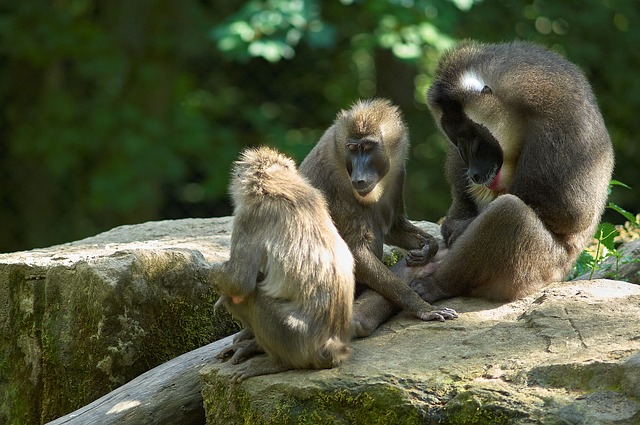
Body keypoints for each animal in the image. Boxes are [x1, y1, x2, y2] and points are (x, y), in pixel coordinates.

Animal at [214, 146, 356, 380]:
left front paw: (216, 280)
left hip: (293, 337)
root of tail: (331, 349)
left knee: (250, 295)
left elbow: (238, 283)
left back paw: (277, 363)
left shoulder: (249, 216)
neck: (278, 183)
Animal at [298, 97, 458, 338]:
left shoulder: (398, 172)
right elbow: (356, 251)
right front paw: (422, 307)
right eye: (352, 149)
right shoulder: (335, 182)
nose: (358, 178)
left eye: (367, 147)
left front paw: (428, 248)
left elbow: (394, 227)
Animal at [404, 40, 616, 302]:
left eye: (472, 135)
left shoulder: (564, 125)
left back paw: (434, 285)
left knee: (509, 212)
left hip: (537, 269)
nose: (474, 174)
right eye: (457, 139)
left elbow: (573, 211)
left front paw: (459, 230)